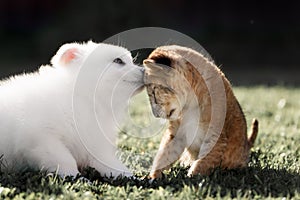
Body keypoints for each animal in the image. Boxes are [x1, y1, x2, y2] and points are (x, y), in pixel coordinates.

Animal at [0, 41, 144, 177]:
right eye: (118, 60)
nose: (144, 70)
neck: (86, 100)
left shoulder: (94, 146)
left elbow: (112, 165)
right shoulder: (41, 138)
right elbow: (65, 159)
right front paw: (76, 177)